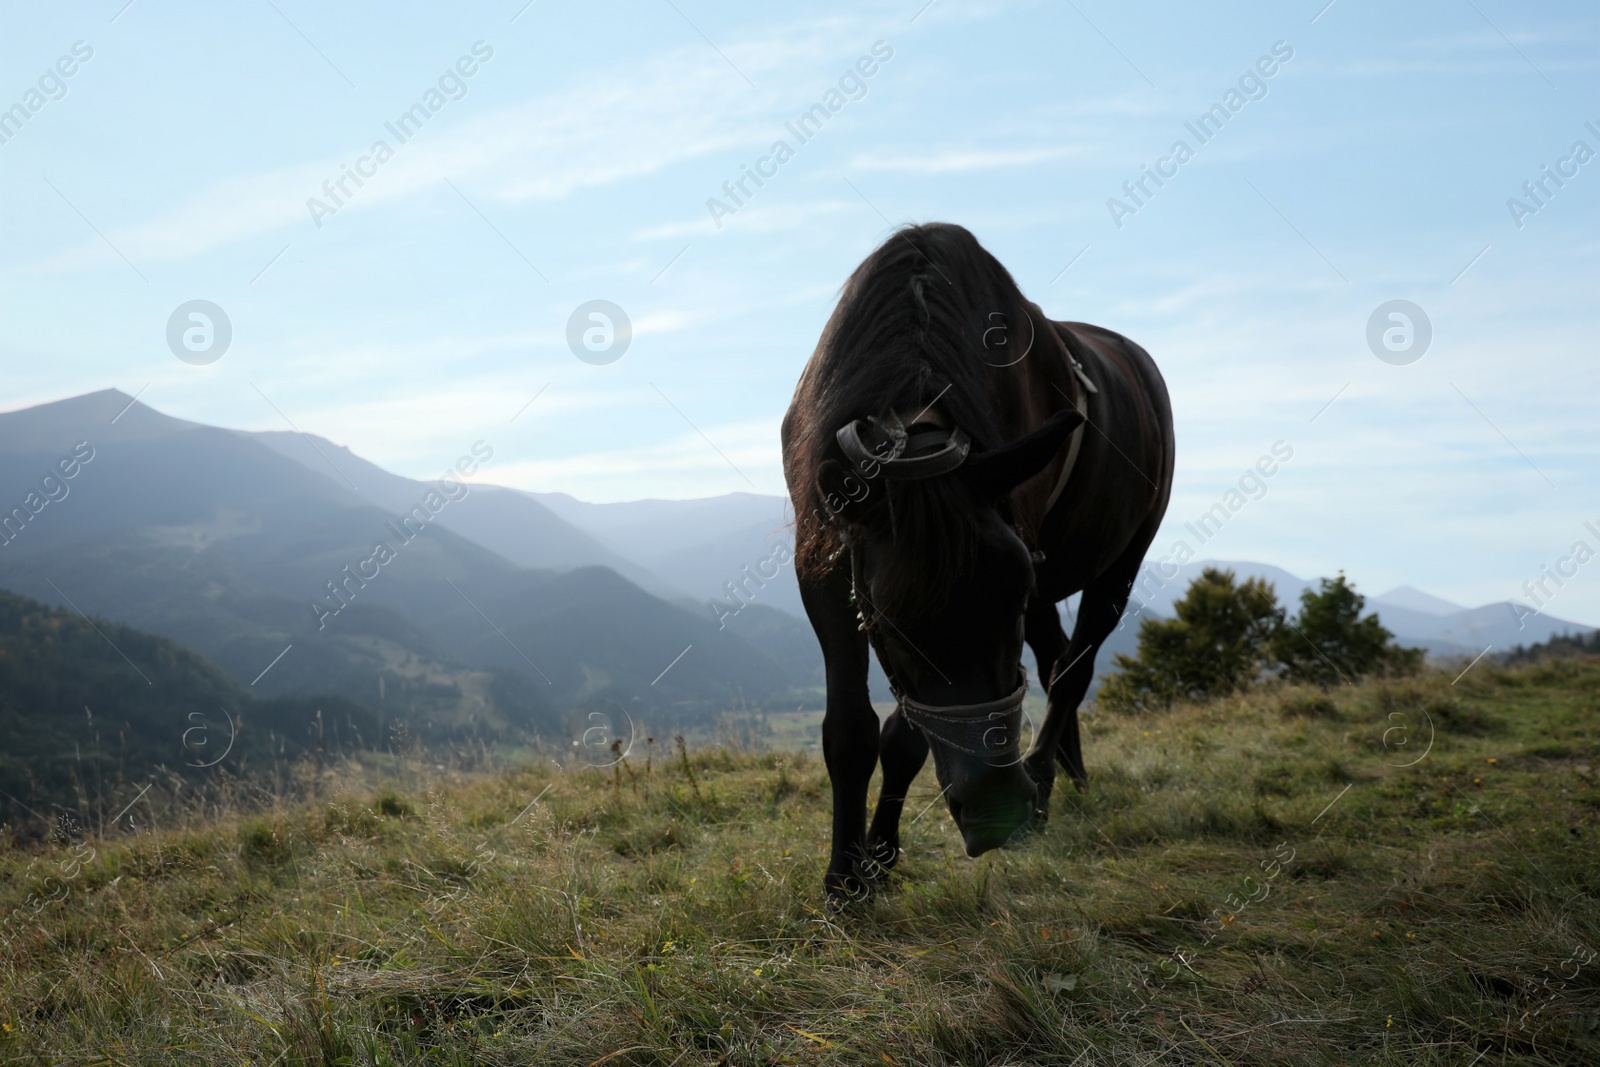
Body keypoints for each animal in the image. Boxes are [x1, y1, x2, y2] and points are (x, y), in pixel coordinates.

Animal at [784, 223, 1177, 902]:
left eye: (1008, 601)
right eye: (890, 623)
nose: (996, 810)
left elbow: (906, 736)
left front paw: (878, 853)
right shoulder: (826, 568)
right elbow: (850, 729)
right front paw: (844, 876)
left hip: (1121, 562)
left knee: (1072, 671)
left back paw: (1044, 778)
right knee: (1055, 661)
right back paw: (1067, 771)